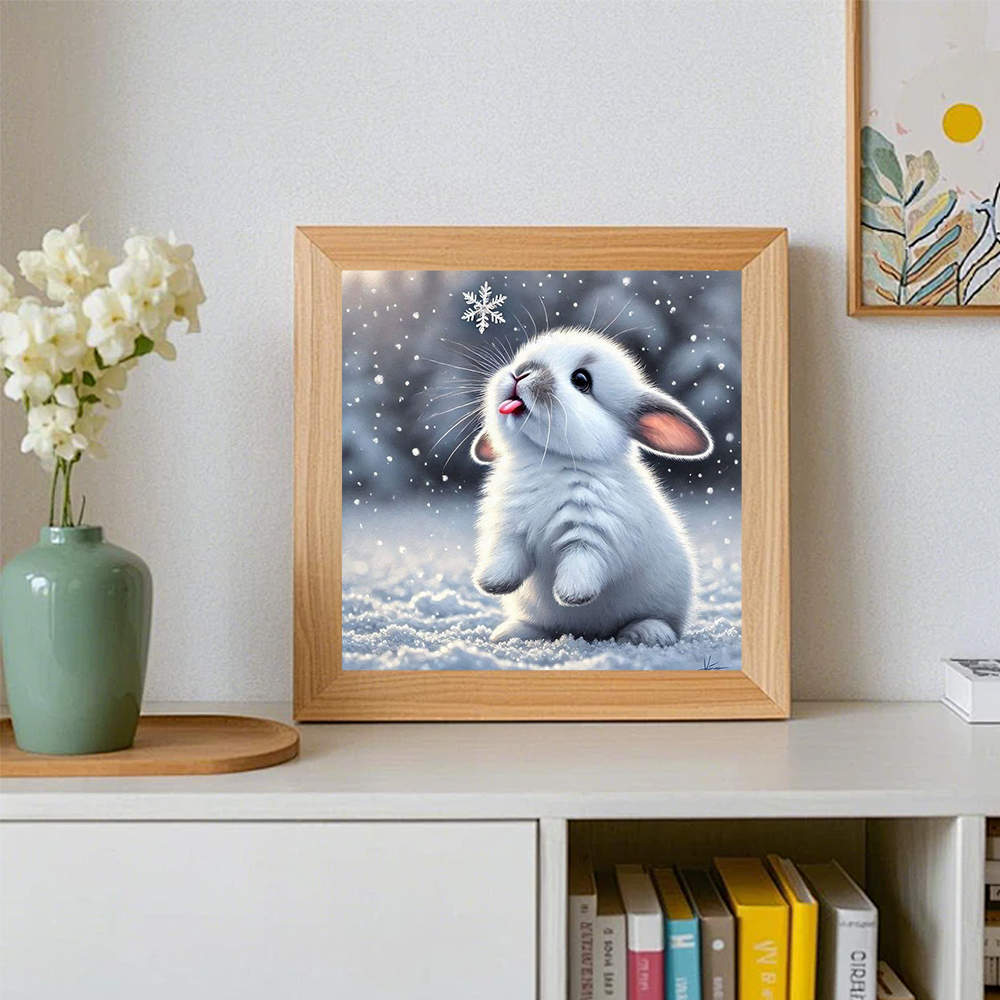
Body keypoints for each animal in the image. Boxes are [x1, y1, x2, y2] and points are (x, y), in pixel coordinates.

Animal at [470, 326, 713, 646]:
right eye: (519, 359)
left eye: (582, 381)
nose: (521, 373)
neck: (549, 459)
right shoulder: (509, 529)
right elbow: (506, 557)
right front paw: (492, 584)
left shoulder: (594, 533)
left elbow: (582, 564)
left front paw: (571, 596)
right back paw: (512, 632)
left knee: (654, 621)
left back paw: (648, 633)